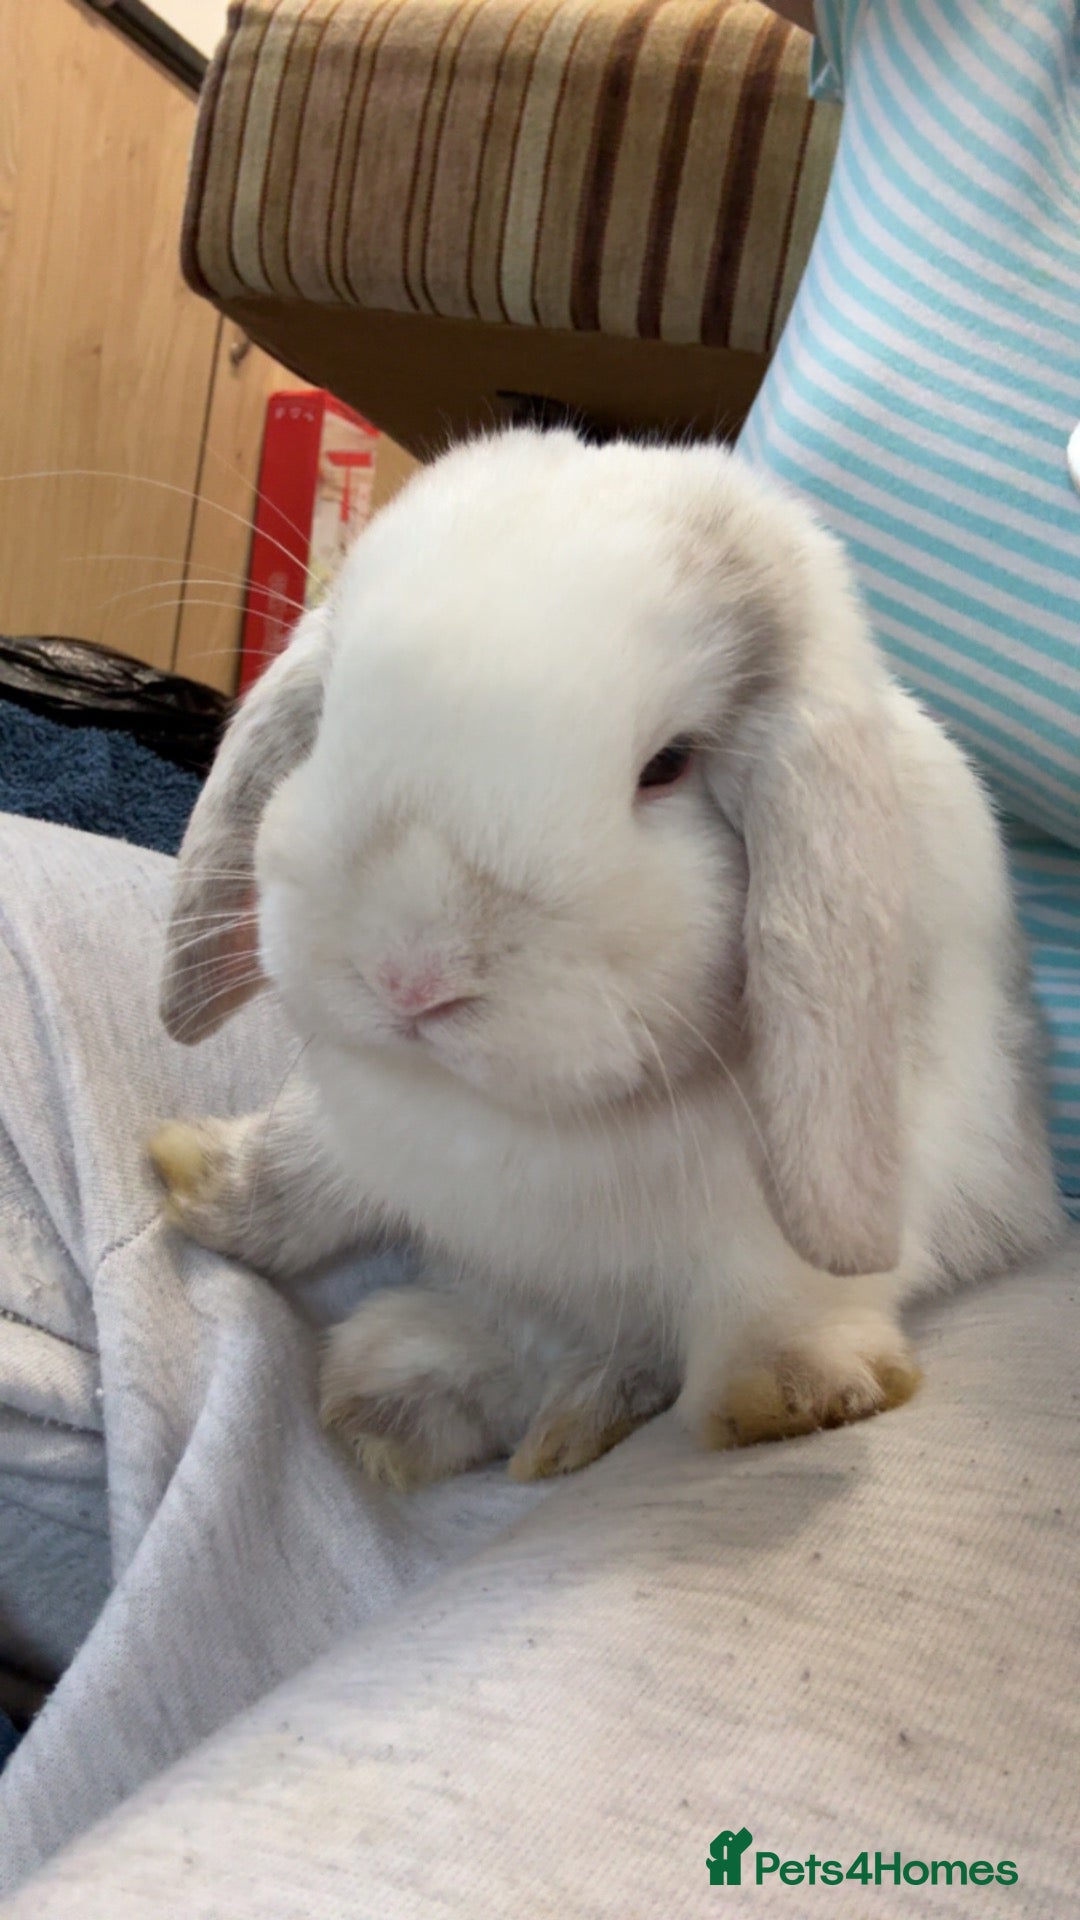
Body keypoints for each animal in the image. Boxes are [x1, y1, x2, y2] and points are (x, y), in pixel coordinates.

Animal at [149, 428, 1063, 1489]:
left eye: (668, 766)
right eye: (330, 715)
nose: (411, 977)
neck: (508, 1114)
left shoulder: (785, 1222)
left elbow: (777, 1294)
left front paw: (791, 1397)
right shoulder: (358, 1139)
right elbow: (304, 1173)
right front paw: (188, 1177)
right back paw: (404, 1403)